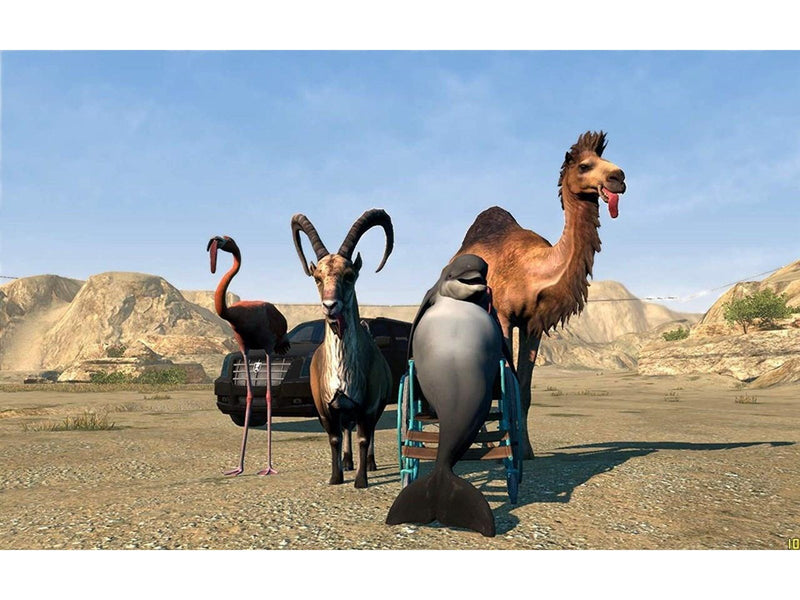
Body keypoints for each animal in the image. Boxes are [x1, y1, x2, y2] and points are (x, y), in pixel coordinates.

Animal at [291, 209, 394, 488]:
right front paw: (336, 477)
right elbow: (335, 438)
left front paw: (361, 481)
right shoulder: (325, 405)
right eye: (317, 278)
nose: (330, 305)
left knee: (368, 432)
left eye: (349, 276)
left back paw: (369, 463)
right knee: (347, 428)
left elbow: (364, 437)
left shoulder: (369, 404)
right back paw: (347, 462)